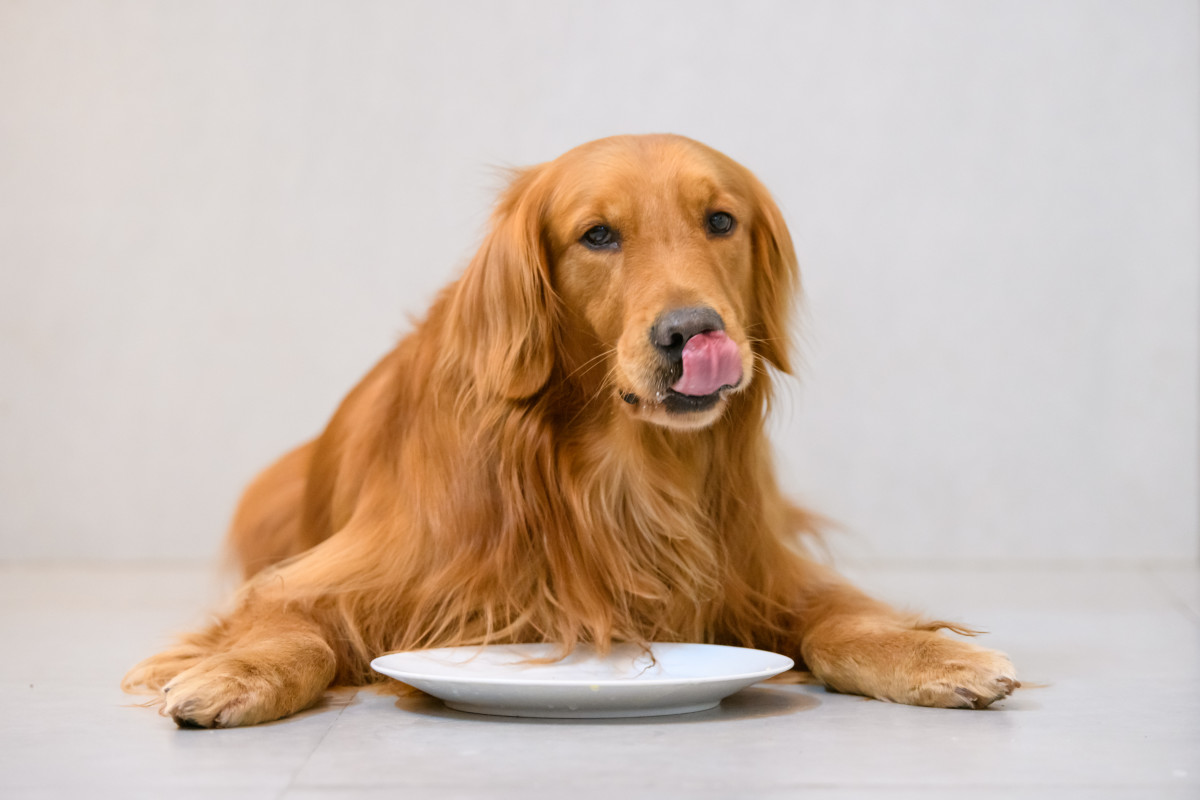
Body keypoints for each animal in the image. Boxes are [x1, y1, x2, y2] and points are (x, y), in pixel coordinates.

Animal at [121, 136, 1017, 724]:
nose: (692, 332)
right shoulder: (324, 579)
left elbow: (849, 618)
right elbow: (289, 628)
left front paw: (936, 656)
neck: (618, 470)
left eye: (720, 221)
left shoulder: (758, 566)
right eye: (598, 235)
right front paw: (234, 672)